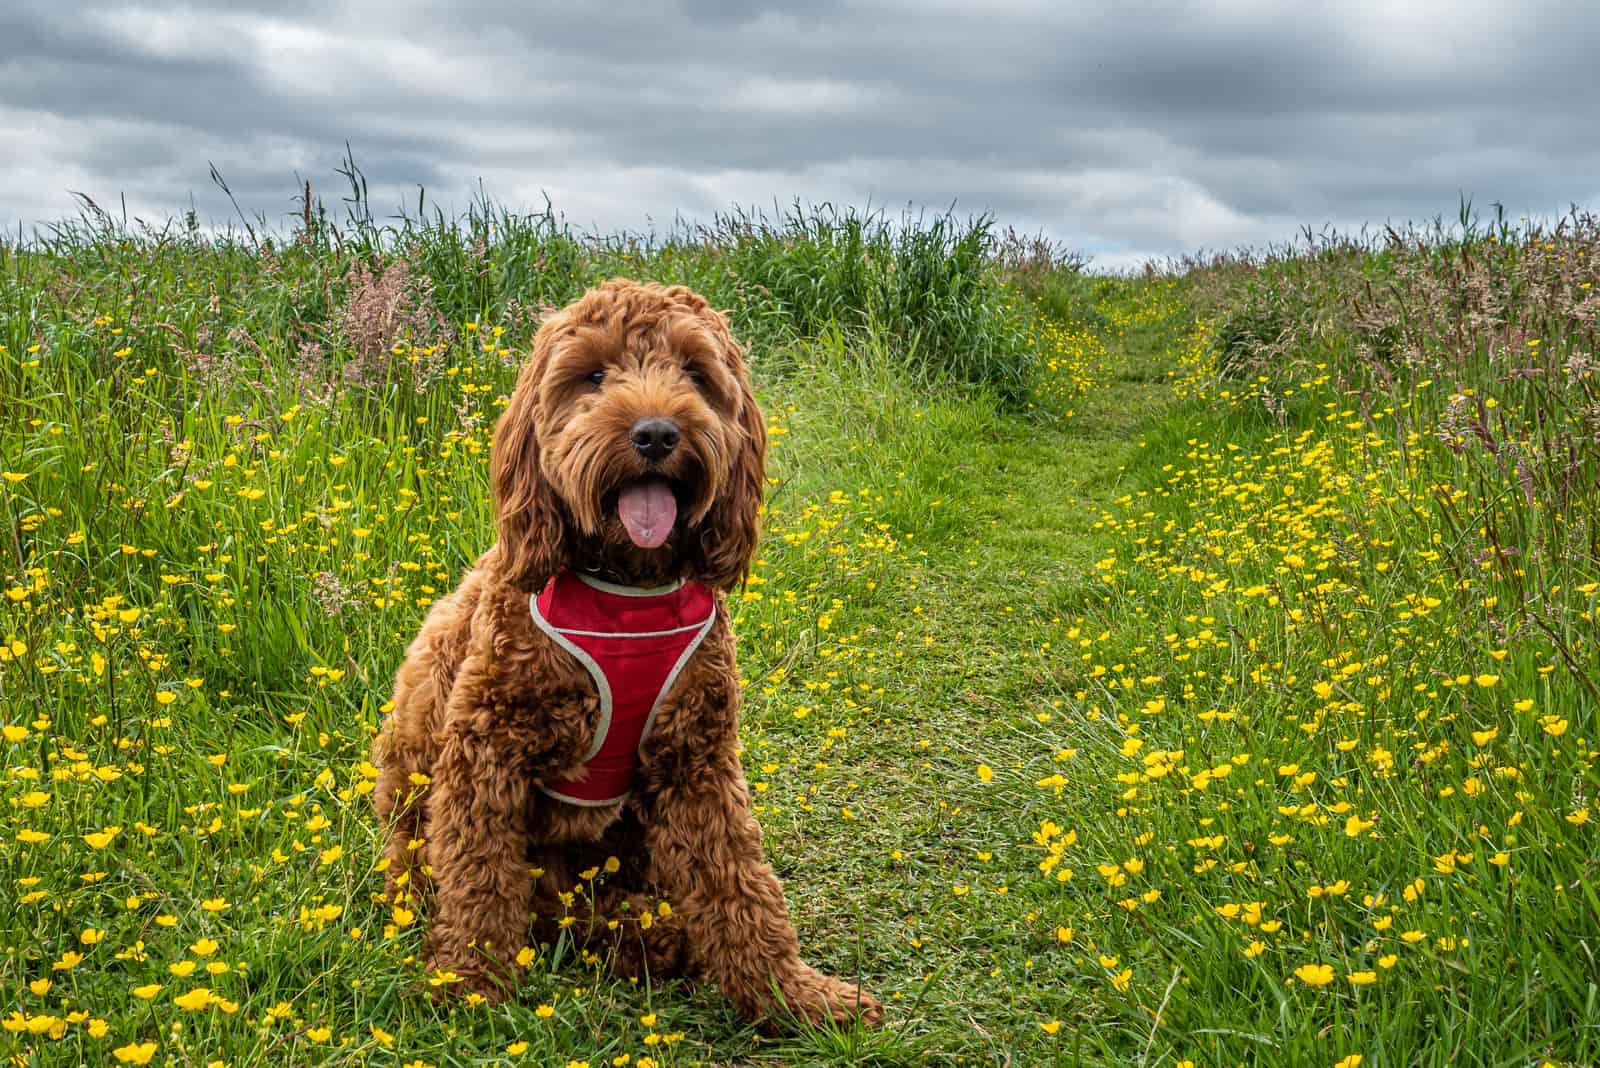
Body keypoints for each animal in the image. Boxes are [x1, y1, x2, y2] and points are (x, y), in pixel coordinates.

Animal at [368, 279, 883, 1029]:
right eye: (593, 376)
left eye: (695, 373)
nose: (657, 433)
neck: (627, 586)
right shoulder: (483, 751)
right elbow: (478, 879)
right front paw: (469, 982)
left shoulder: (696, 758)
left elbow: (741, 884)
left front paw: (792, 995)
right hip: (413, 783)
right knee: (487, 894)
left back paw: (651, 932)